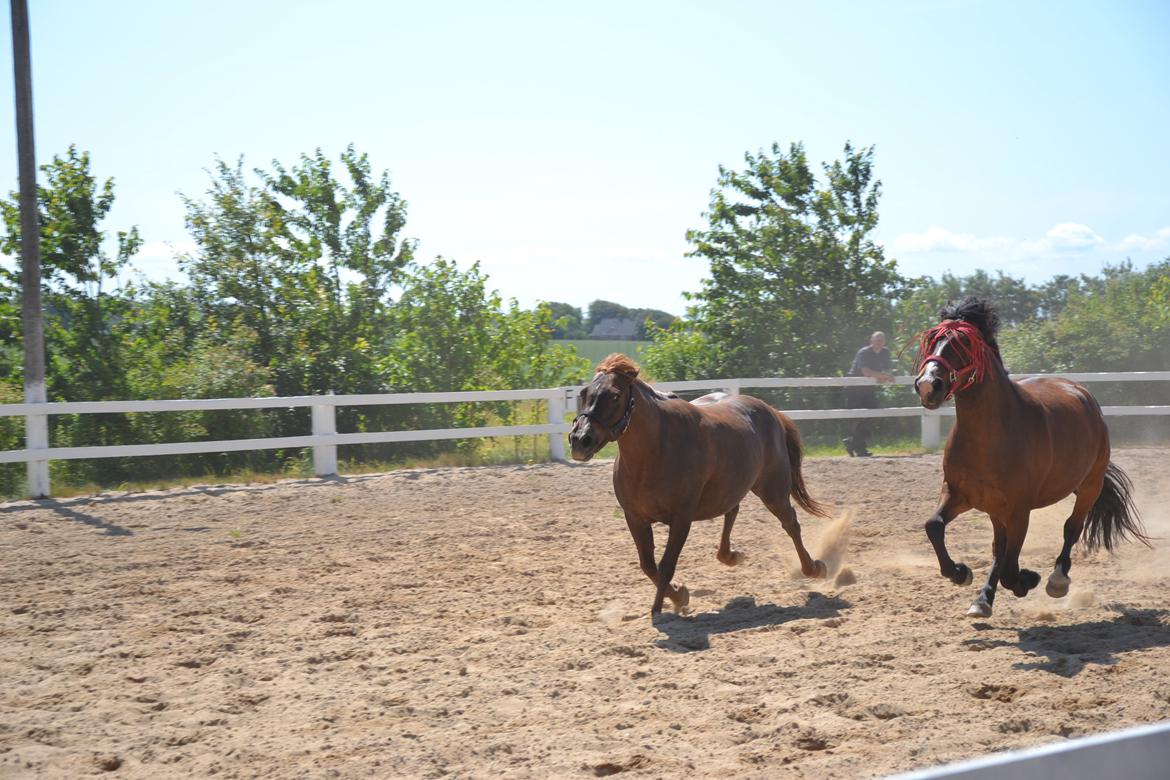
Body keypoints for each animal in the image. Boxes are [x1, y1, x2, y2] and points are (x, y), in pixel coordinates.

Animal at [568, 353, 833, 617]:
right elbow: (648, 565)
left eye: (615, 395)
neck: (654, 452)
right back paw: (731, 556)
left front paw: (661, 607)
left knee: (790, 524)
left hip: (773, 491)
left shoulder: (681, 518)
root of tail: (771, 411)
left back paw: (814, 568)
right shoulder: (635, 518)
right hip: (733, 486)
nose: (580, 440)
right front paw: (677, 596)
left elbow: (666, 565)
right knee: (733, 511)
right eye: (584, 392)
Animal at [907, 295, 1146, 617]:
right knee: (999, 547)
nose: (928, 385)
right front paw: (961, 573)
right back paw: (983, 599)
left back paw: (1056, 580)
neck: (989, 438)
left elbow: (1011, 568)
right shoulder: (959, 494)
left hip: (1089, 486)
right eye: (931, 340)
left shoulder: (1020, 510)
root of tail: (1081, 392)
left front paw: (1027, 579)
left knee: (1071, 528)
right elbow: (934, 526)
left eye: (964, 343)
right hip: (996, 509)